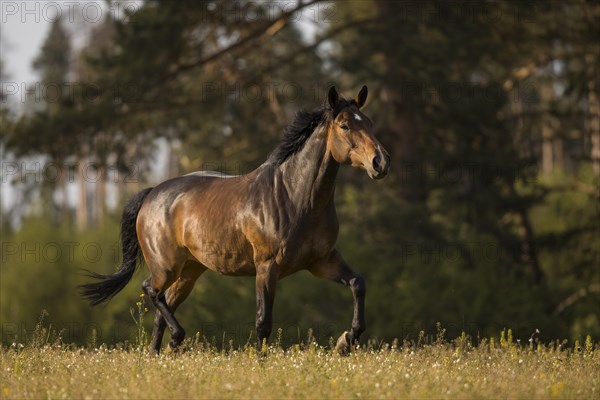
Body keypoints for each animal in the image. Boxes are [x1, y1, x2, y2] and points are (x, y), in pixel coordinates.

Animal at [81, 86, 390, 354]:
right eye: (345, 126)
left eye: (369, 122)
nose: (381, 162)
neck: (296, 197)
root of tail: (152, 194)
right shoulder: (267, 267)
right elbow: (263, 322)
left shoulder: (321, 260)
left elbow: (358, 283)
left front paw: (346, 341)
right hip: (166, 267)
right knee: (151, 290)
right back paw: (177, 339)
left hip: (190, 271)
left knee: (161, 310)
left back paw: (160, 355)